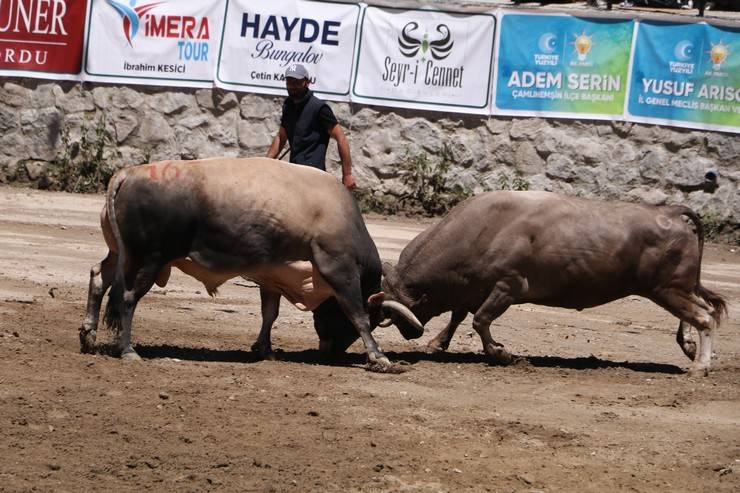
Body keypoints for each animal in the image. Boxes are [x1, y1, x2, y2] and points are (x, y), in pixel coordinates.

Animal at [372, 190, 732, 374]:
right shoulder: (473, 289)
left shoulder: (508, 286)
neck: (483, 229)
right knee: (701, 310)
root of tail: (670, 212)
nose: (408, 332)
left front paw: (500, 353)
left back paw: (700, 366)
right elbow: (459, 315)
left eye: (392, 312)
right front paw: (438, 343)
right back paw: (691, 349)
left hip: (667, 289)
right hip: (676, 288)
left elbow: (480, 320)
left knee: (704, 316)